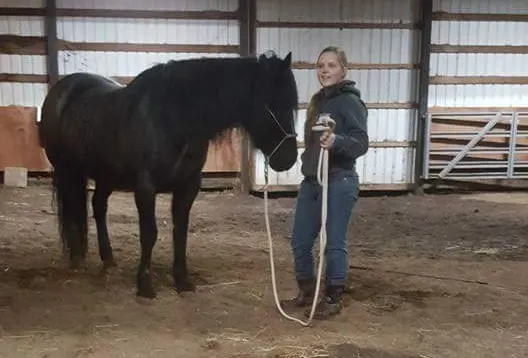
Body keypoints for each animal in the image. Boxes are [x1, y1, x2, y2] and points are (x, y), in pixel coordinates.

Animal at [39, 49, 300, 296]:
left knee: (98, 207)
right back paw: (76, 258)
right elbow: (149, 233)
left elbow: (180, 232)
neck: (172, 119)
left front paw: (182, 281)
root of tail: (62, 90)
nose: (288, 159)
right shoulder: (145, 187)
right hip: (67, 171)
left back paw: (108, 259)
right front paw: (145, 285)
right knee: (72, 210)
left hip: (106, 175)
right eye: (272, 103)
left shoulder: (188, 186)